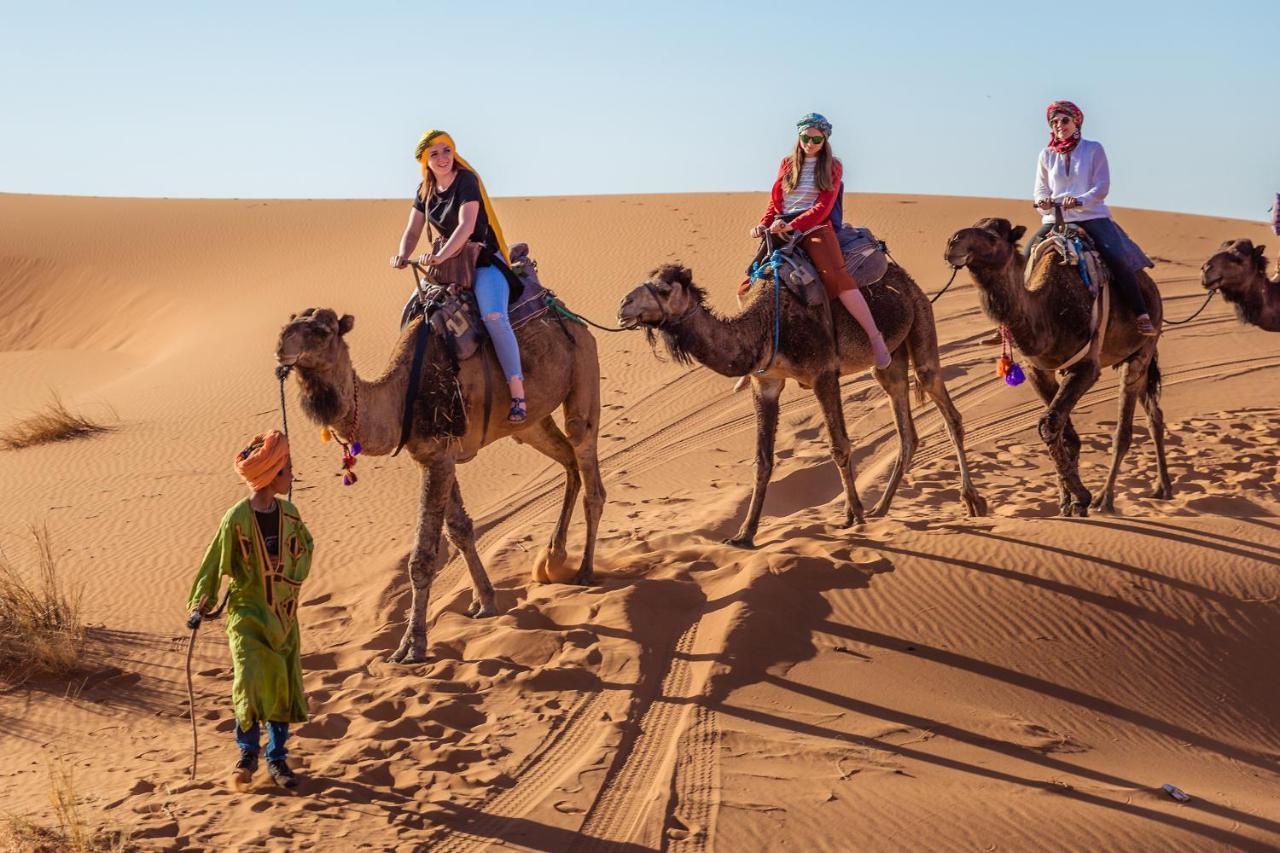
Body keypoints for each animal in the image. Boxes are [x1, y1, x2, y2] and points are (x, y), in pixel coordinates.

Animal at [275, 302, 604, 660]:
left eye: (322, 330)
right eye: (289, 323)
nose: (281, 345)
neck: (400, 397)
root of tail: (576, 321)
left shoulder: (438, 458)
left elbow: (422, 558)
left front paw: (411, 646)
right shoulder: (437, 456)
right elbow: (460, 530)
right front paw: (485, 602)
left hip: (583, 371)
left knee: (589, 473)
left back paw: (585, 571)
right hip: (530, 423)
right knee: (568, 460)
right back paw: (553, 556)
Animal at [614, 262, 983, 548]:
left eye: (664, 289)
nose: (623, 305)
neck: (766, 323)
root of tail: (906, 280)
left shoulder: (823, 372)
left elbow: (838, 446)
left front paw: (854, 516)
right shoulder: (765, 382)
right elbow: (762, 460)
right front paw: (744, 534)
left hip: (921, 323)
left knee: (947, 409)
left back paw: (971, 501)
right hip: (888, 361)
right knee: (907, 432)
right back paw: (881, 508)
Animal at [942, 217, 1172, 512]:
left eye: (993, 236)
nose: (953, 243)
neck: (1049, 311)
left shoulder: (1086, 367)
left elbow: (1050, 424)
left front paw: (1082, 496)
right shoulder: (1038, 371)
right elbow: (1063, 432)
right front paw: (1068, 501)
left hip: (1143, 348)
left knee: (1124, 430)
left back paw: (1105, 498)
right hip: (1129, 359)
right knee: (1154, 414)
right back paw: (1162, 487)